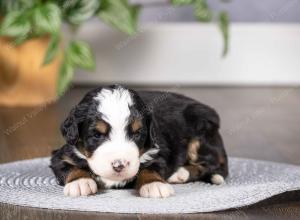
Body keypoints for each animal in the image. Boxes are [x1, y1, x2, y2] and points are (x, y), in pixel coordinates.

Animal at [49, 85, 227, 199]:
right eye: (97, 134)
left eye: (137, 134)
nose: (119, 165)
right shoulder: (62, 154)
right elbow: (70, 167)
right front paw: (81, 182)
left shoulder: (158, 152)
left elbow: (150, 168)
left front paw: (154, 185)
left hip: (200, 134)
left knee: (213, 164)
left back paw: (180, 173)